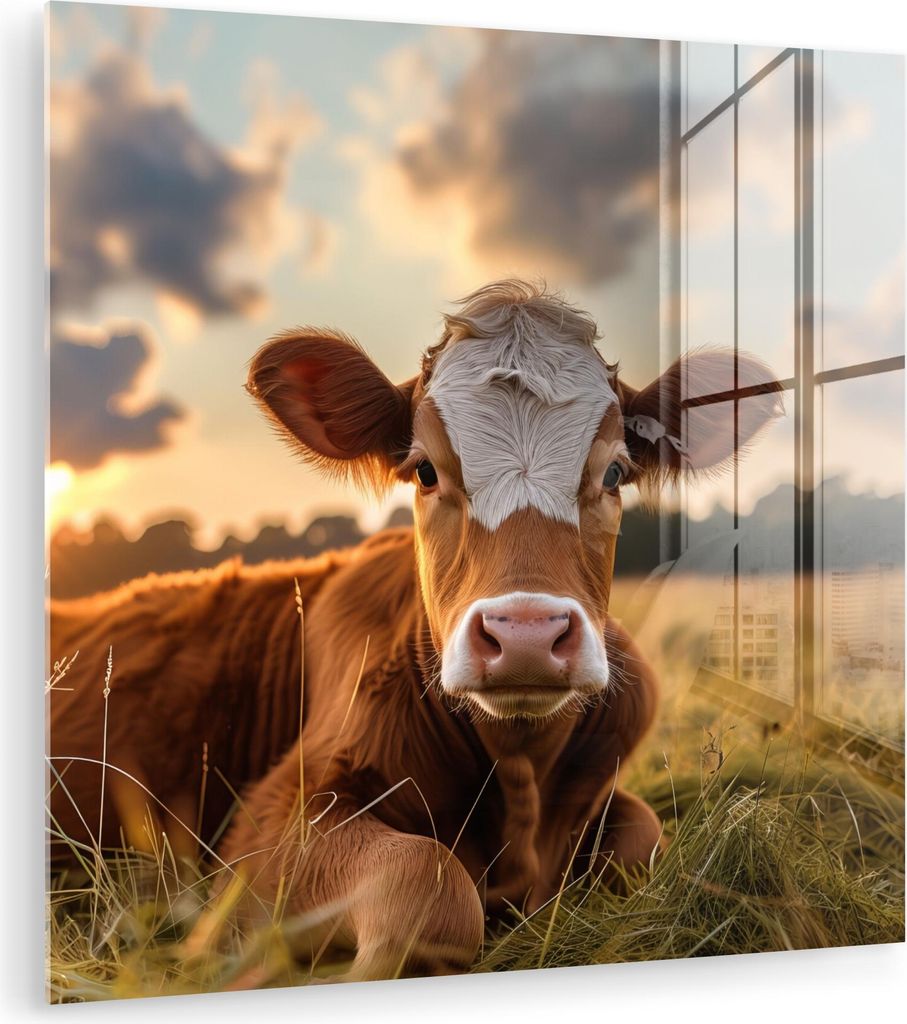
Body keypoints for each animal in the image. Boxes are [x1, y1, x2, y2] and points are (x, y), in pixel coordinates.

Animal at [48, 279, 781, 982]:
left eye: (613, 472)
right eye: (425, 470)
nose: (524, 635)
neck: (518, 780)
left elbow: (644, 841)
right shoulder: (268, 821)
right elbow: (430, 885)